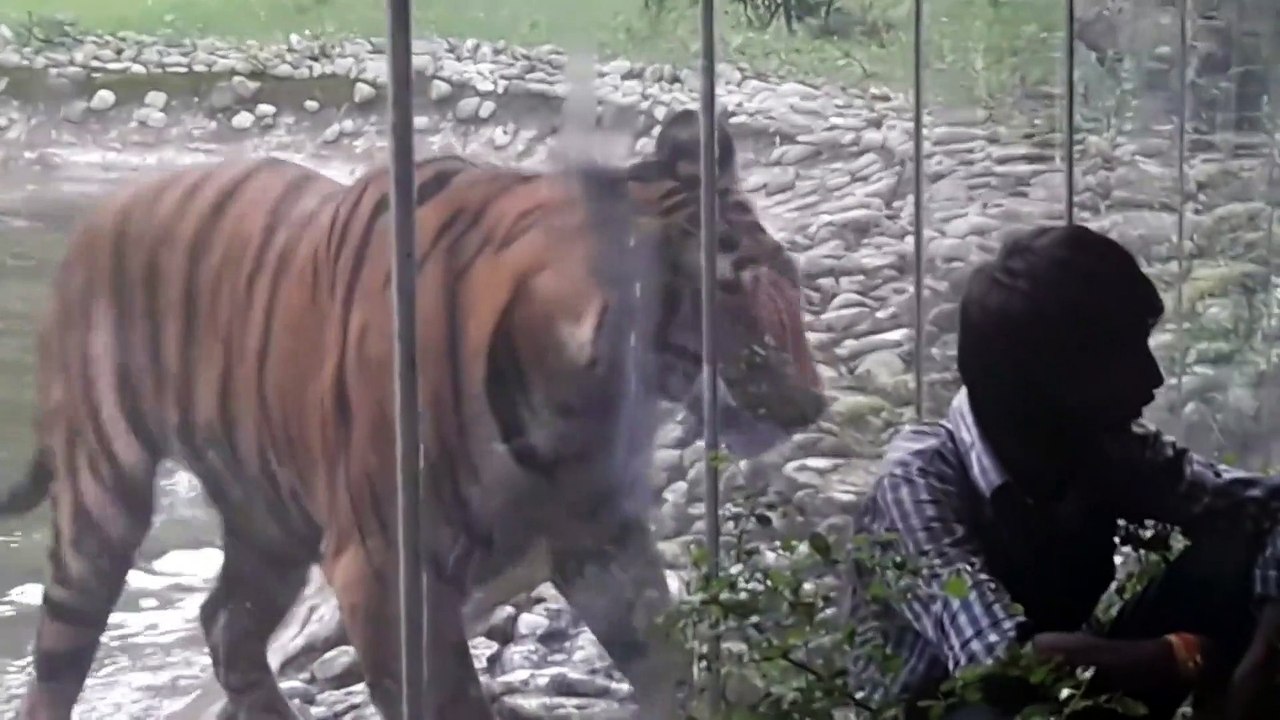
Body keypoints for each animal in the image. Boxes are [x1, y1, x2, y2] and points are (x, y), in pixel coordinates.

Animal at [0, 106, 826, 720]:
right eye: (740, 312)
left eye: (791, 283)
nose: (815, 403)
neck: (577, 402)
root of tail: (97, 216)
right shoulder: (384, 569)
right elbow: (446, 699)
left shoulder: (600, 535)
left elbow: (666, 655)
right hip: (104, 497)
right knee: (59, 661)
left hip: (270, 514)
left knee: (226, 622)